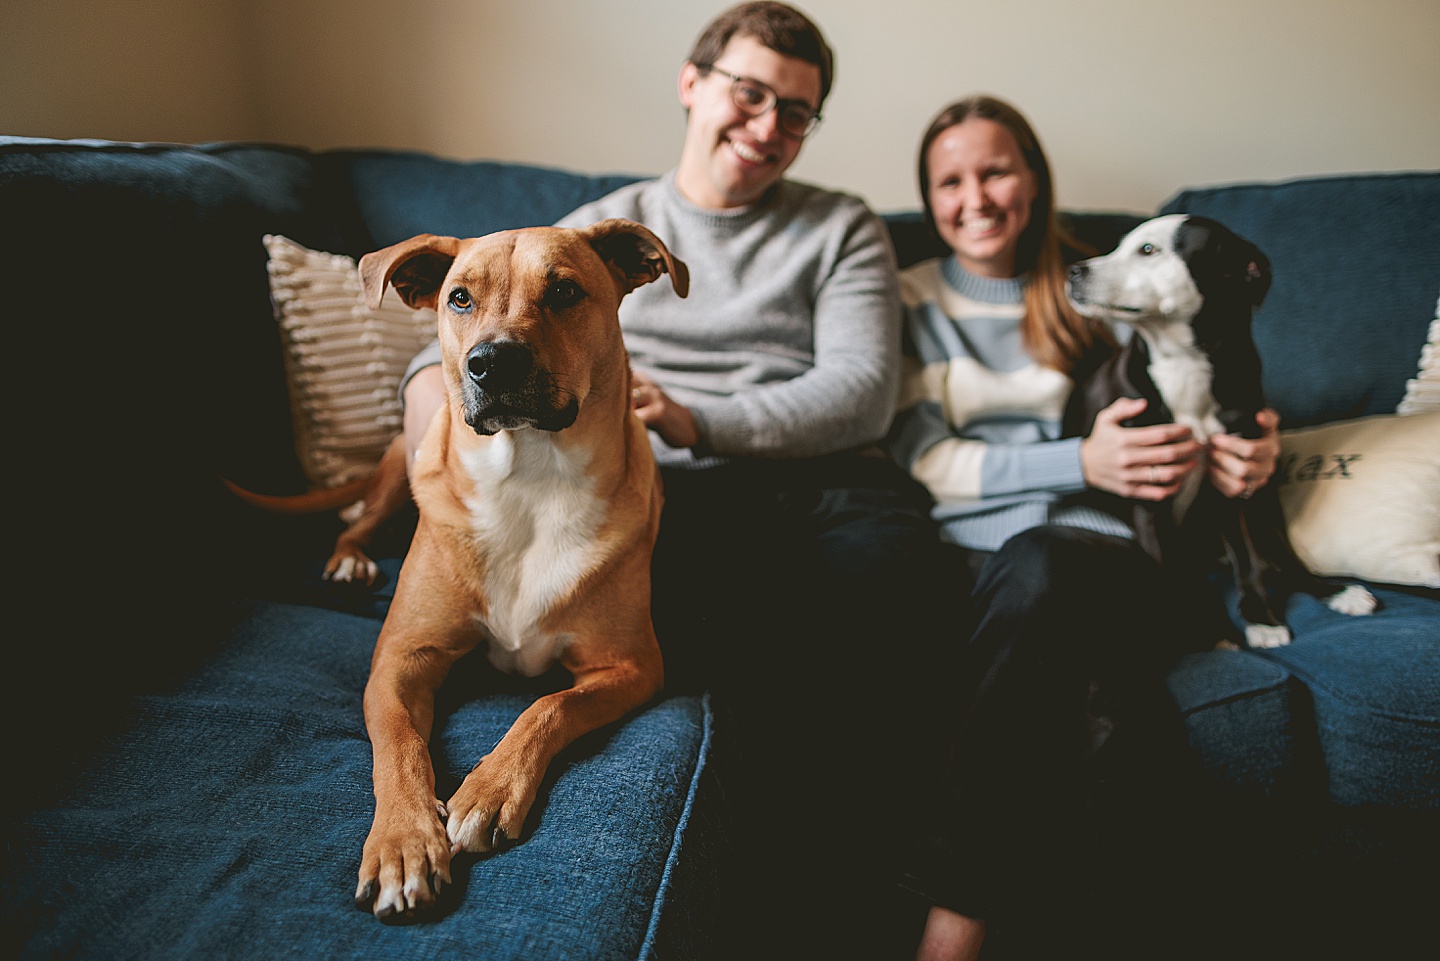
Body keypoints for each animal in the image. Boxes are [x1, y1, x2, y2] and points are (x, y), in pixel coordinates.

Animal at [349, 217, 685, 916]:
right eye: (459, 298)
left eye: (563, 291)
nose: (491, 362)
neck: (529, 478)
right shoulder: (401, 656)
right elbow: (398, 743)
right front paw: (402, 840)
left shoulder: (633, 666)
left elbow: (549, 706)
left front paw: (489, 790)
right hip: (396, 472)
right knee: (359, 517)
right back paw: (349, 558)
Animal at [1065, 214, 1376, 651]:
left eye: (1148, 250)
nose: (1073, 271)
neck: (1185, 365)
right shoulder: (1149, 496)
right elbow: (1171, 578)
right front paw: (1206, 632)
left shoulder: (1231, 479)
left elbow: (1247, 559)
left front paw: (1260, 617)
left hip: (1262, 494)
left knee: (1279, 555)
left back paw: (1335, 591)